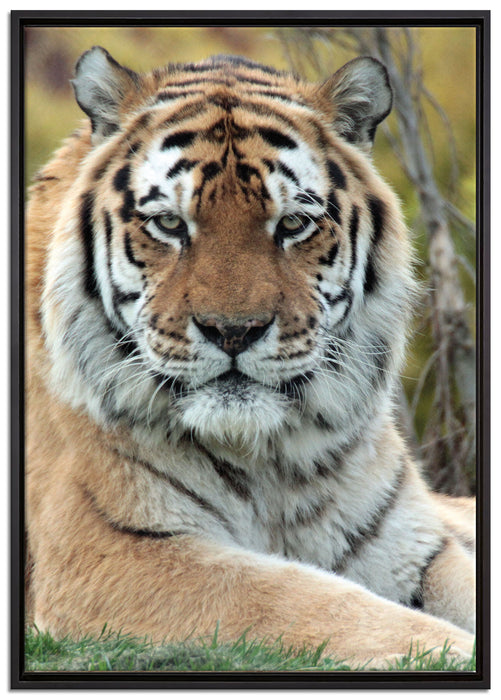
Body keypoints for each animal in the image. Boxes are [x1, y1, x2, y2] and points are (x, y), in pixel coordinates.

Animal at [25, 46, 476, 669]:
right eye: (170, 223)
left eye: (293, 224)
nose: (233, 331)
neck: (273, 461)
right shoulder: (107, 552)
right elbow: (304, 598)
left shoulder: (414, 542)